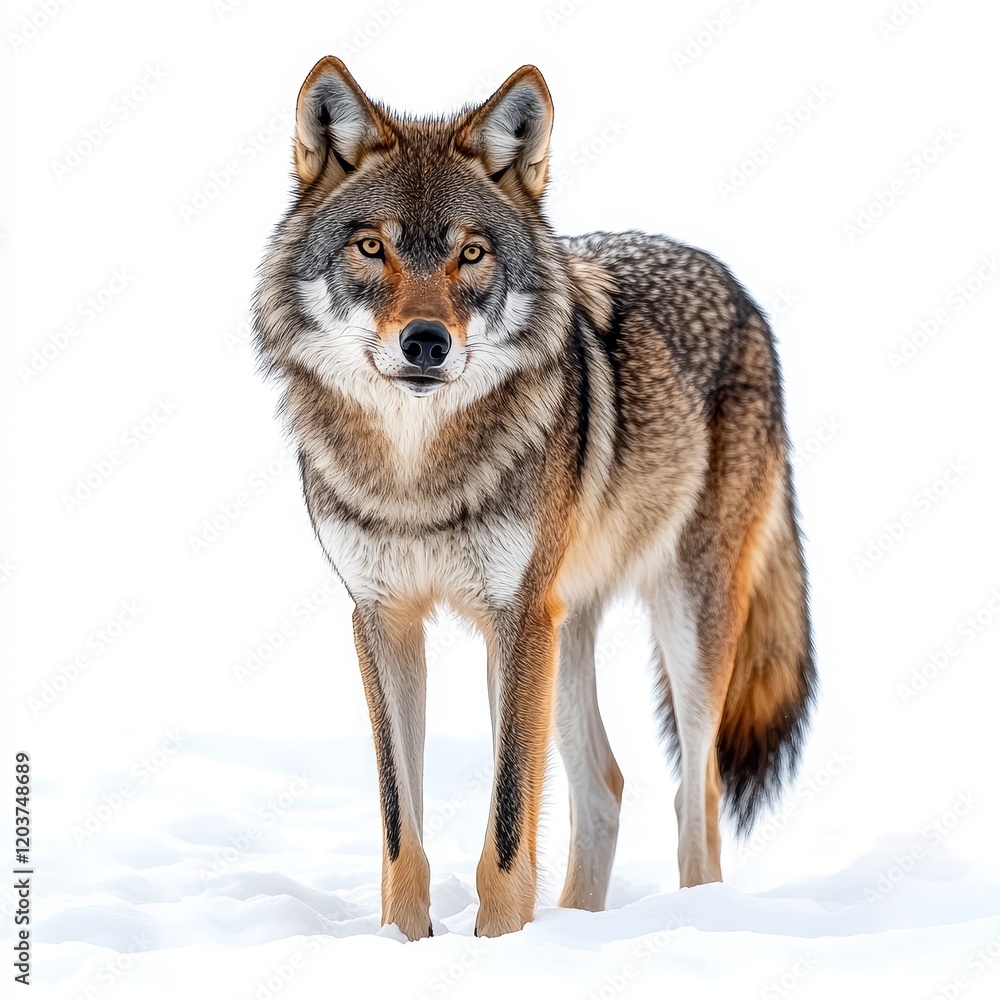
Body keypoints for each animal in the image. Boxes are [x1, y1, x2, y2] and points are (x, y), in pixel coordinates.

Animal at [253, 57, 816, 940]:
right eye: (372, 247)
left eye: (471, 253)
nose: (425, 342)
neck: (417, 477)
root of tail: (740, 293)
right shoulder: (384, 618)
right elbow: (400, 830)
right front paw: (407, 943)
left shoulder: (516, 618)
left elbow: (509, 825)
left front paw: (496, 947)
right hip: (566, 625)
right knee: (605, 787)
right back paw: (580, 930)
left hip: (681, 620)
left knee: (697, 797)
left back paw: (695, 922)